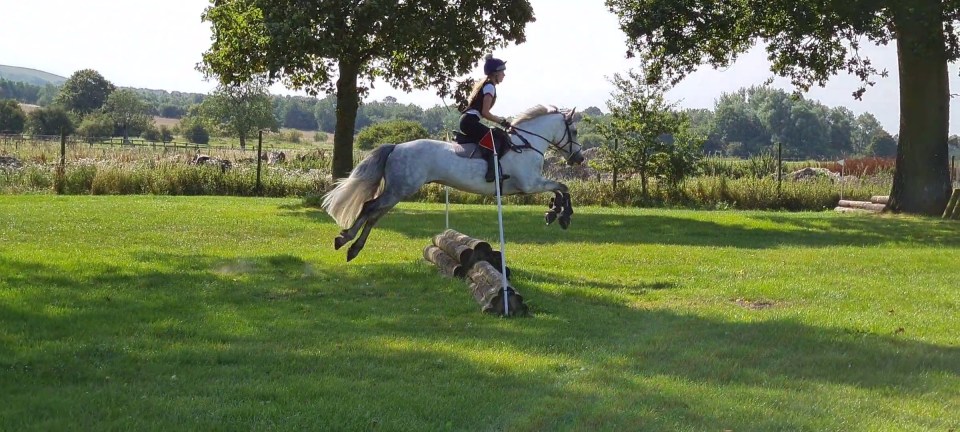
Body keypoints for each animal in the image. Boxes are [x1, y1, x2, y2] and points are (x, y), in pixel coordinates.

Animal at [322, 105, 585, 261]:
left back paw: (353, 247)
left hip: (398, 191)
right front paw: (562, 215)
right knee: (369, 208)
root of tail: (396, 147)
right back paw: (344, 239)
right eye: (573, 130)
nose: (579, 158)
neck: (528, 145)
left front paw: (554, 212)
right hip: (400, 189)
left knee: (374, 215)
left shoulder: (531, 185)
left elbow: (561, 189)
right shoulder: (530, 185)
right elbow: (563, 187)